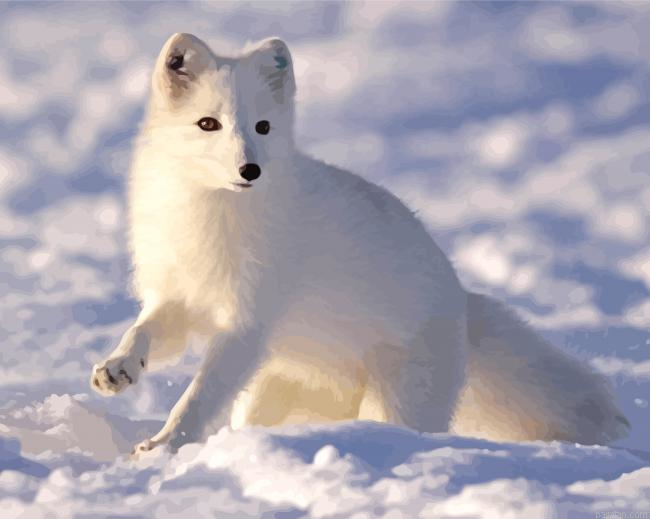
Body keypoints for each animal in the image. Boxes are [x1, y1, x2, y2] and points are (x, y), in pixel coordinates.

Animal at [90, 33, 629, 454]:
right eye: (208, 123)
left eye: (263, 127)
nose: (251, 169)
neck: (209, 215)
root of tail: (461, 300)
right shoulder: (177, 293)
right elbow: (144, 332)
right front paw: (117, 369)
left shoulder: (247, 322)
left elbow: (200, 395)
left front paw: (164, 446)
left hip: (397, 397)